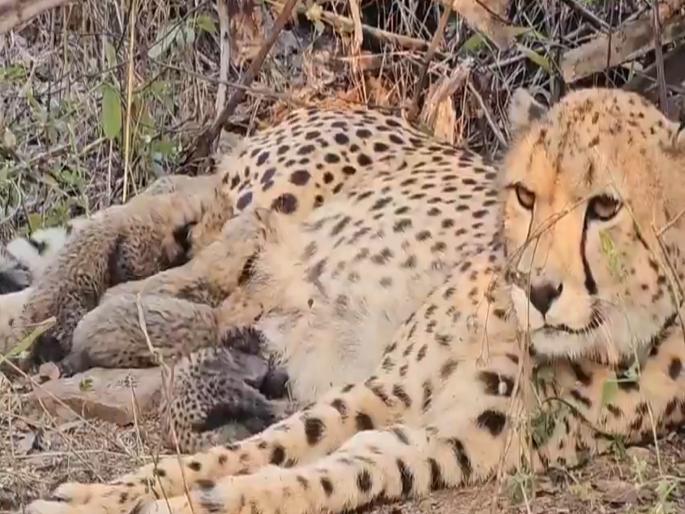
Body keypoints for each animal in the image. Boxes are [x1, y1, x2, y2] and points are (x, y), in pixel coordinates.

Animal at [25, 87, 685, 514]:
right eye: (525, 195)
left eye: (606, 207)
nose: (536, 289)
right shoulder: (386, 388)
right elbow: (252, 450)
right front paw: (102, 495)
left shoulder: (443, 443)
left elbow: (314, 477)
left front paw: (207, 501)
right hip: (266, 201)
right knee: (163, 224)